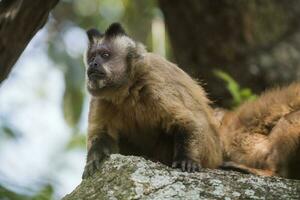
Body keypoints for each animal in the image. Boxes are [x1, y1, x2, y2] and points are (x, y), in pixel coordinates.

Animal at [82, 23, 223, 178]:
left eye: (105, 55)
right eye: (92, 57)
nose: (93, 64)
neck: (126, 90)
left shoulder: (154, 84)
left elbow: (187, 121)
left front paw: (187, 159)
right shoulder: (101, 99)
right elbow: (102, 134)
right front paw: (93, 159)